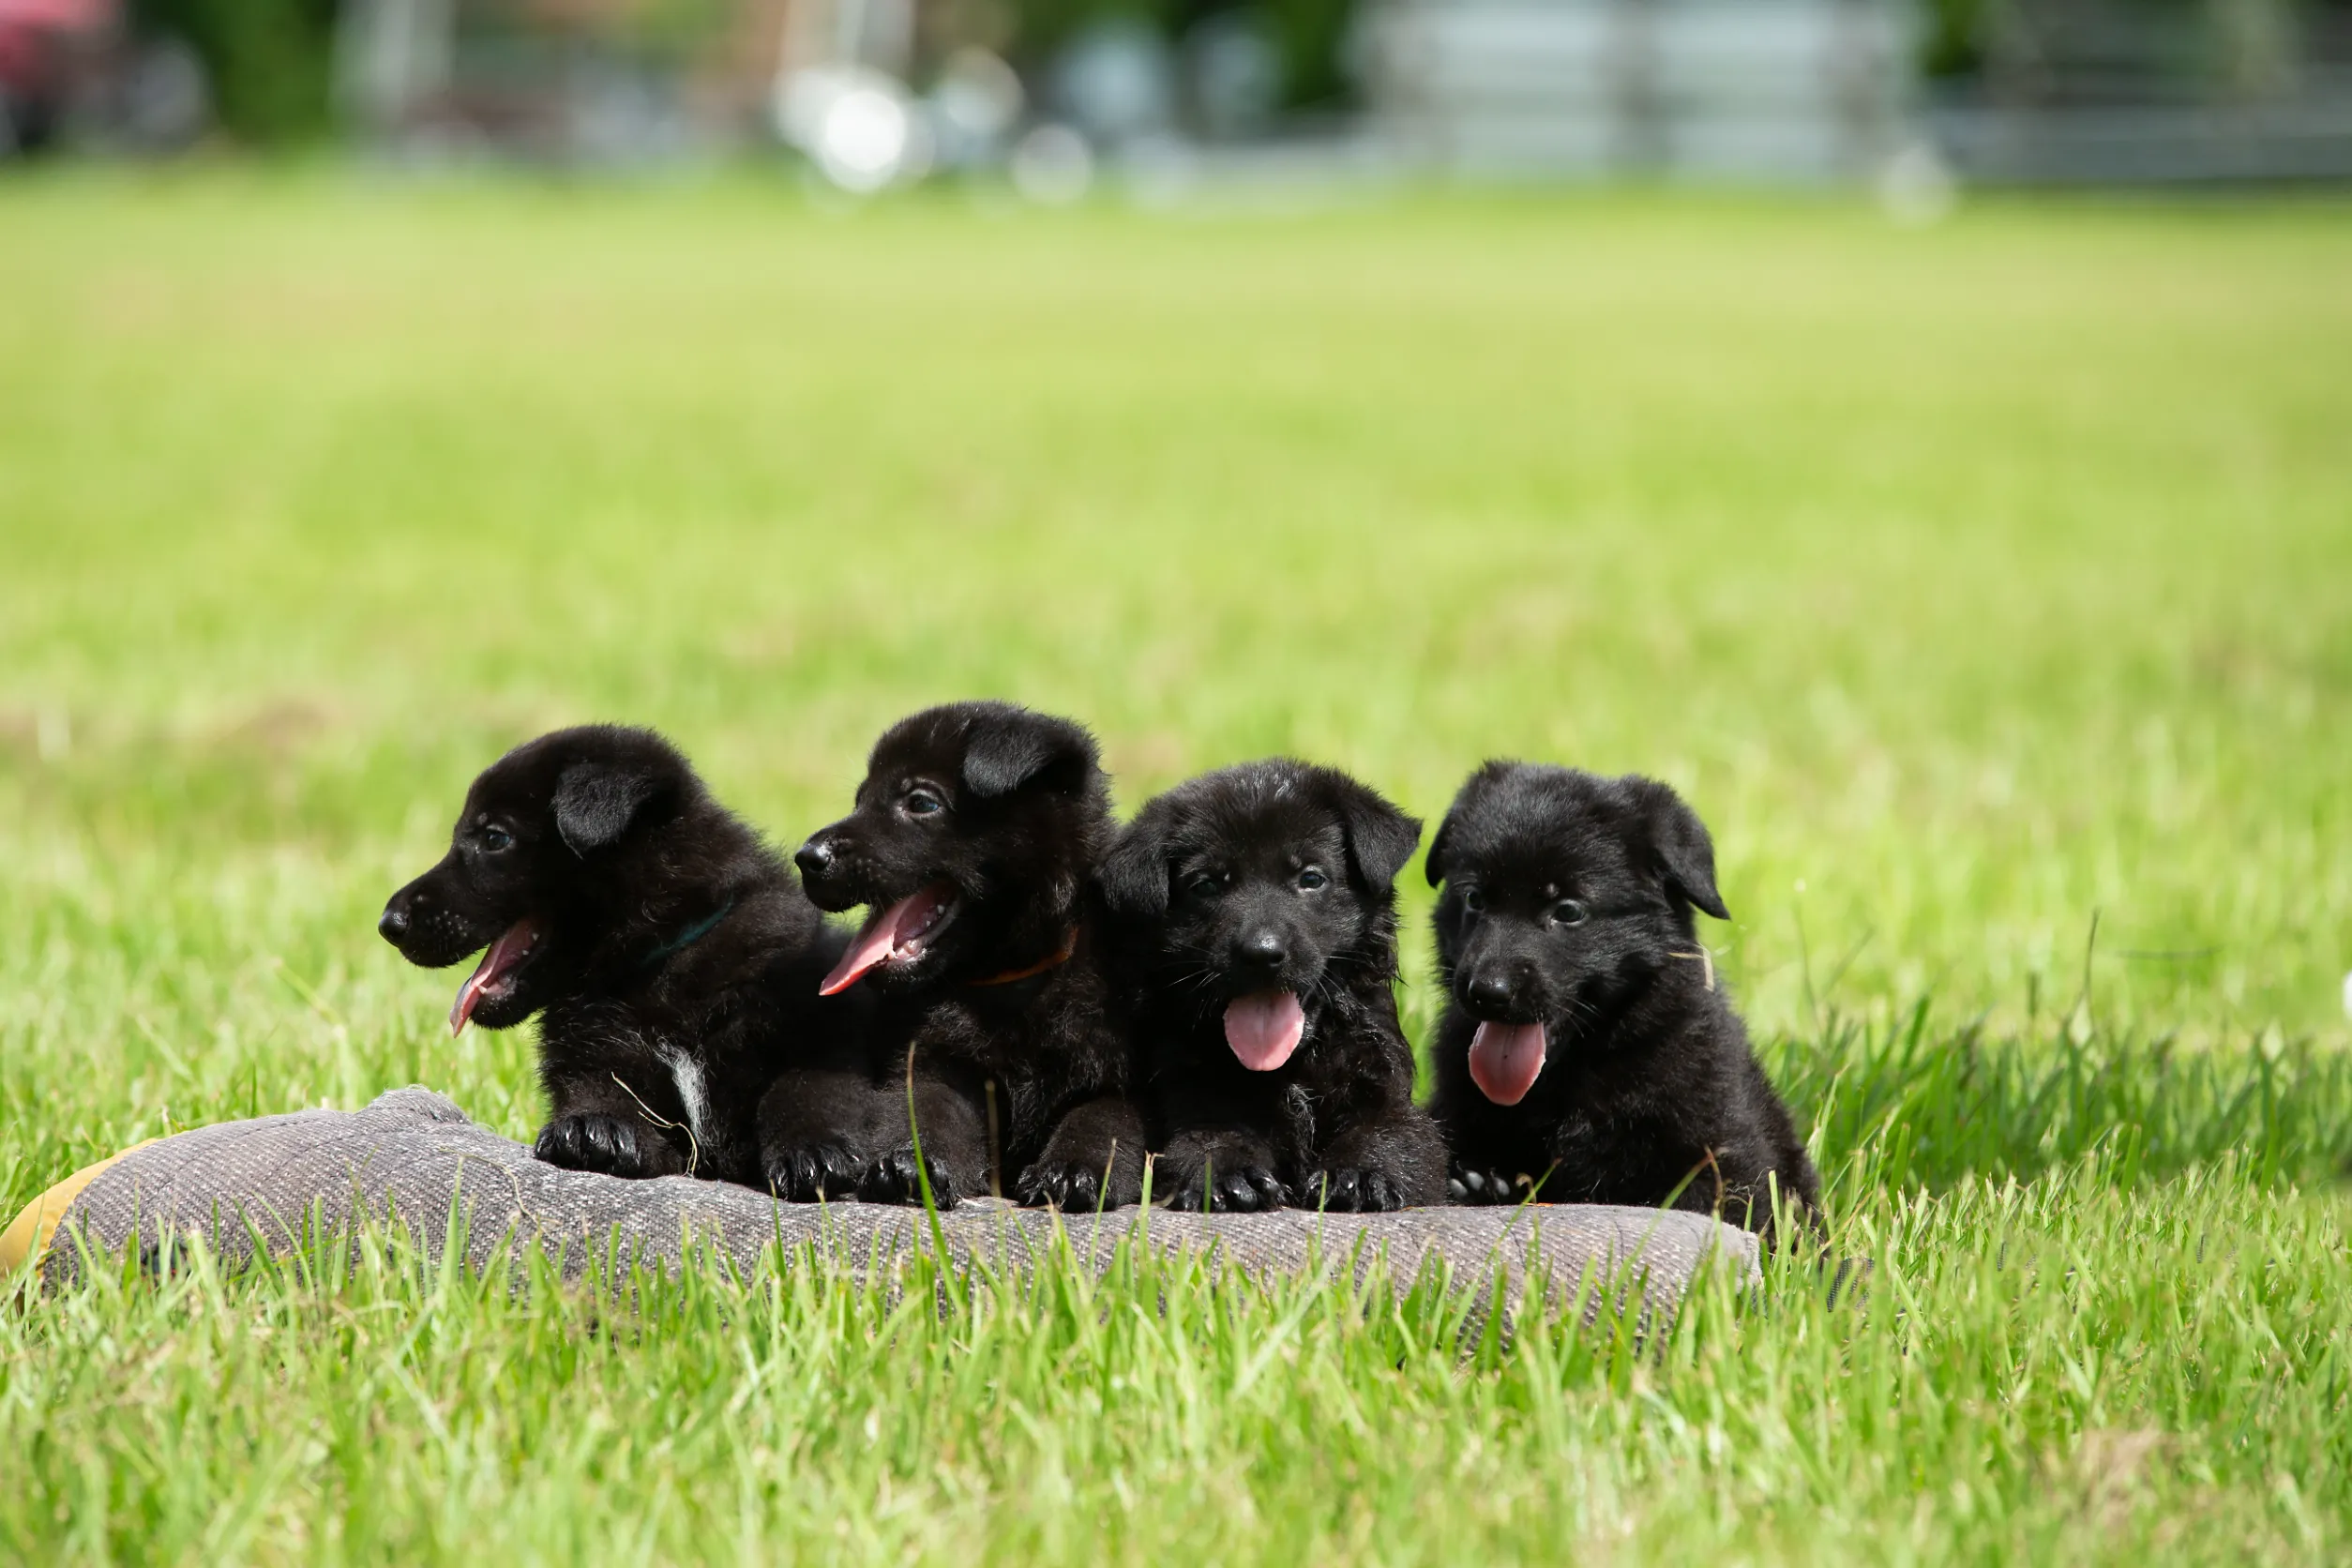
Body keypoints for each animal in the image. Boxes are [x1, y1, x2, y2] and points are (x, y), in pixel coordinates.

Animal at [381, 729, 860, 1184]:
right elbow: (602, 1091)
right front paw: (593, 1128)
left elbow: (805, 1085)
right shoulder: (594, 1057)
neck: (657, 958)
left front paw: (814, 1149)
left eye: (494, 838)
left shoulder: (813, 1024)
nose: (389, 923)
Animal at [766, 701, 1142, 1213]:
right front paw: (913, 1165)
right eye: (860, 799)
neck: (1009, 981)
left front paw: (1073, 1169)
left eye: (921, 802)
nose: (808, 858)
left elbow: (1105, 1120)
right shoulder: (936, 1062)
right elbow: (929, 1111)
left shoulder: (1121, 1074)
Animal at [1100, 761, 1448, 1213]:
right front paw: (1230, 1174)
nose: (1261, 955)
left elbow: (1389, 1132)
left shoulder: (1384, 1082)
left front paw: (1358, 1173)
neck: (1288, 1064)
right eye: (1207, 885)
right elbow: (1209, 1135)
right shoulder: (1195, 1086)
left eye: (1311, 878)